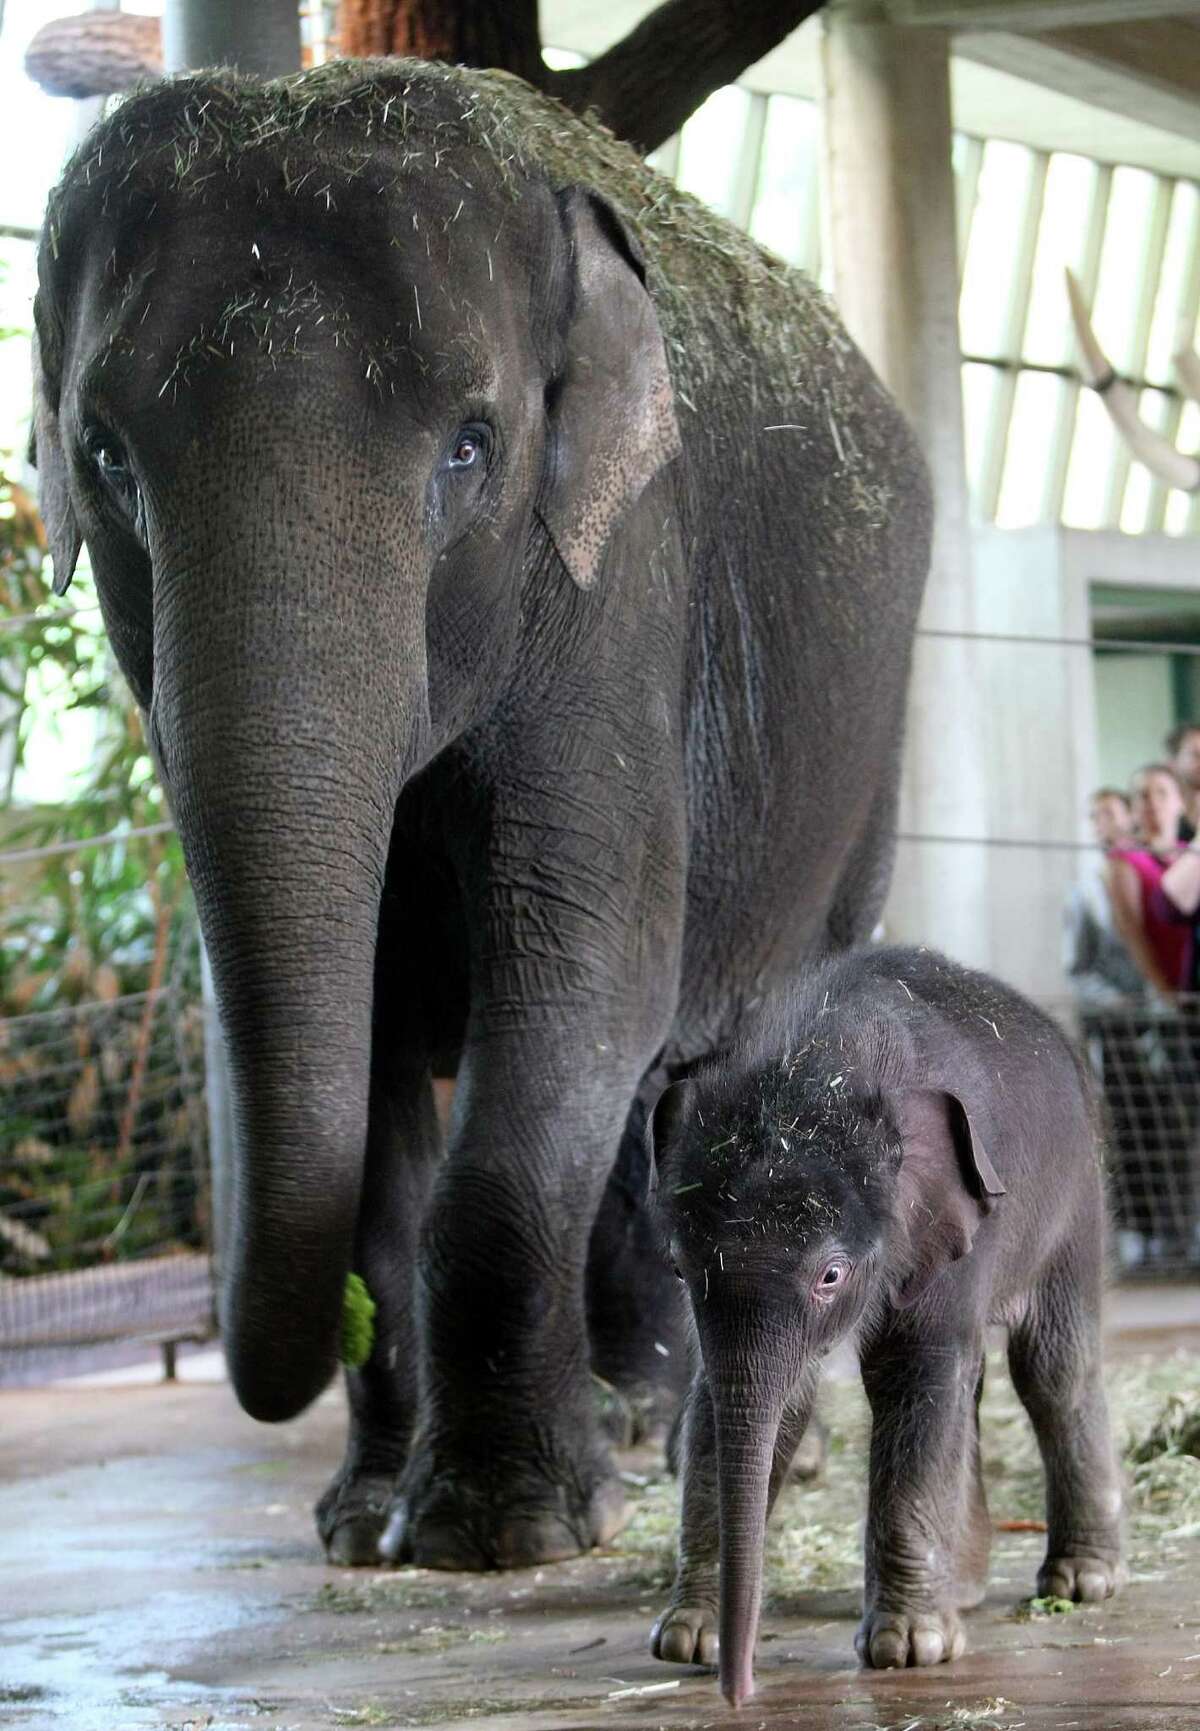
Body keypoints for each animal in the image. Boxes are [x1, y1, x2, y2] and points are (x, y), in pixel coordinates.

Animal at [28, 57, 928, 1571]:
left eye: (471, 446)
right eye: (103, 450)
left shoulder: (619, 582)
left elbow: (581, 977)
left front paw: (501, 1529)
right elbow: (377, 1037)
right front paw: (362, 1523)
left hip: (867, 774)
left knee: (728, 1050)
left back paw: (728, 1447)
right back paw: (638, 1420)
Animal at [647, 948, 1122, 1703]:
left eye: (831, 1275)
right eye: (680, 1266)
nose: (739, 1689)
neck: (819, 1062)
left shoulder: (954, 1221)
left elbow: (915, 1373)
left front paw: (908, 1648)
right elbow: (760, 1402)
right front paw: (687, 1638)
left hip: (1077, 1199)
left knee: (1052, 1369)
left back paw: (1080, 1582)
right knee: (977, 1381)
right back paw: (965, 1587)